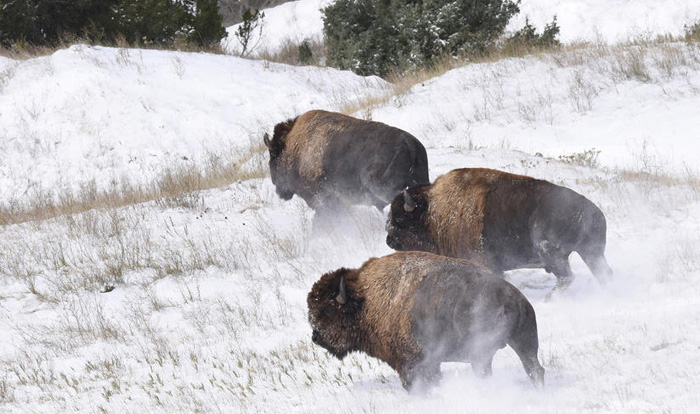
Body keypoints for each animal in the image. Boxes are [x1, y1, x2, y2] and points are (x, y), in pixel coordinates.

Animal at [308, 249, 548, 392]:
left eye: (328, 310)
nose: (315, 337)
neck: (366, 299)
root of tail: (512, 300)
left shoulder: (410, 363)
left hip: (481, 353)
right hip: (525, 342)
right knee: (534, 369)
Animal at [382, 168, 612, 294]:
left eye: (400, 219)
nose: (389, 240)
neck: (433, 212)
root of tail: (591, 211)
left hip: (553, 254)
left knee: (566, 277)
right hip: (591, 252)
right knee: (602, 273)